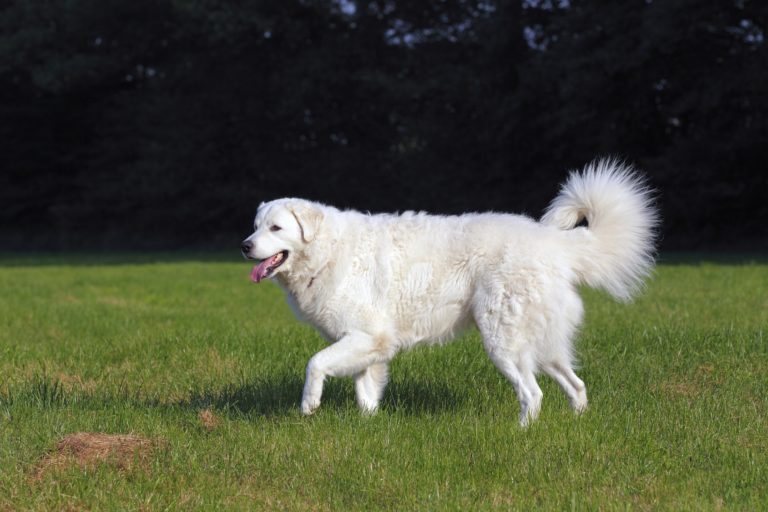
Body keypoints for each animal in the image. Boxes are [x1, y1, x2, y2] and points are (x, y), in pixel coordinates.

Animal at [240, 159, 656, 424]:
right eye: (256, 225)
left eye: (276, 228)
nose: (245, 246)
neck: (326, 251)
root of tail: (553, 241)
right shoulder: (370, 345)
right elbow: (366, 392)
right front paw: (369, 427)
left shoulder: (365, 336)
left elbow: (315, 363)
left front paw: (309, 405)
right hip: (541, 345)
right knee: (576, 384)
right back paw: (577, 423)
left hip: (503, 342)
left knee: (532, 393)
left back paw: (519, 434)